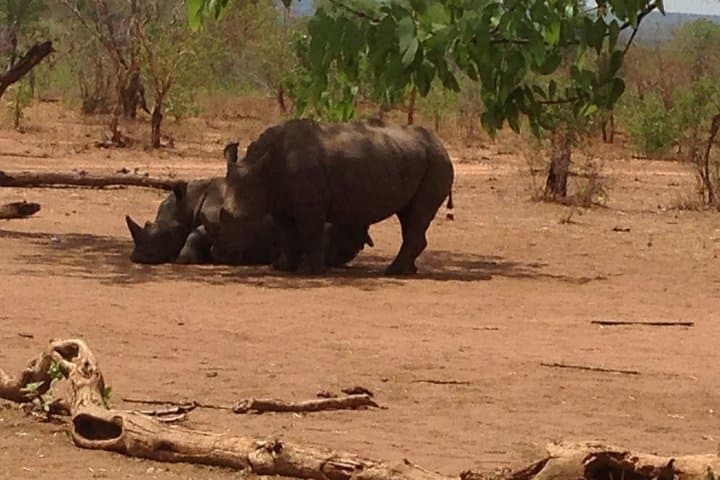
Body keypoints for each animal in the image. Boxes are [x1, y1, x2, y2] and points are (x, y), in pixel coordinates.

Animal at [211, 118, 454, 276]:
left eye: (242, 219)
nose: (220, 255)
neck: (264, 169)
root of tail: (442, 146)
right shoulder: (279, 200)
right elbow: (287, 234)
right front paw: (281, 267)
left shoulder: (310, 203)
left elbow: (309, 232)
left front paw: (310, 272)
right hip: (415, 158)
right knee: (408, 215)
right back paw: (408, 271)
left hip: (436, 162)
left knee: (418, 214)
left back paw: (393, 272)